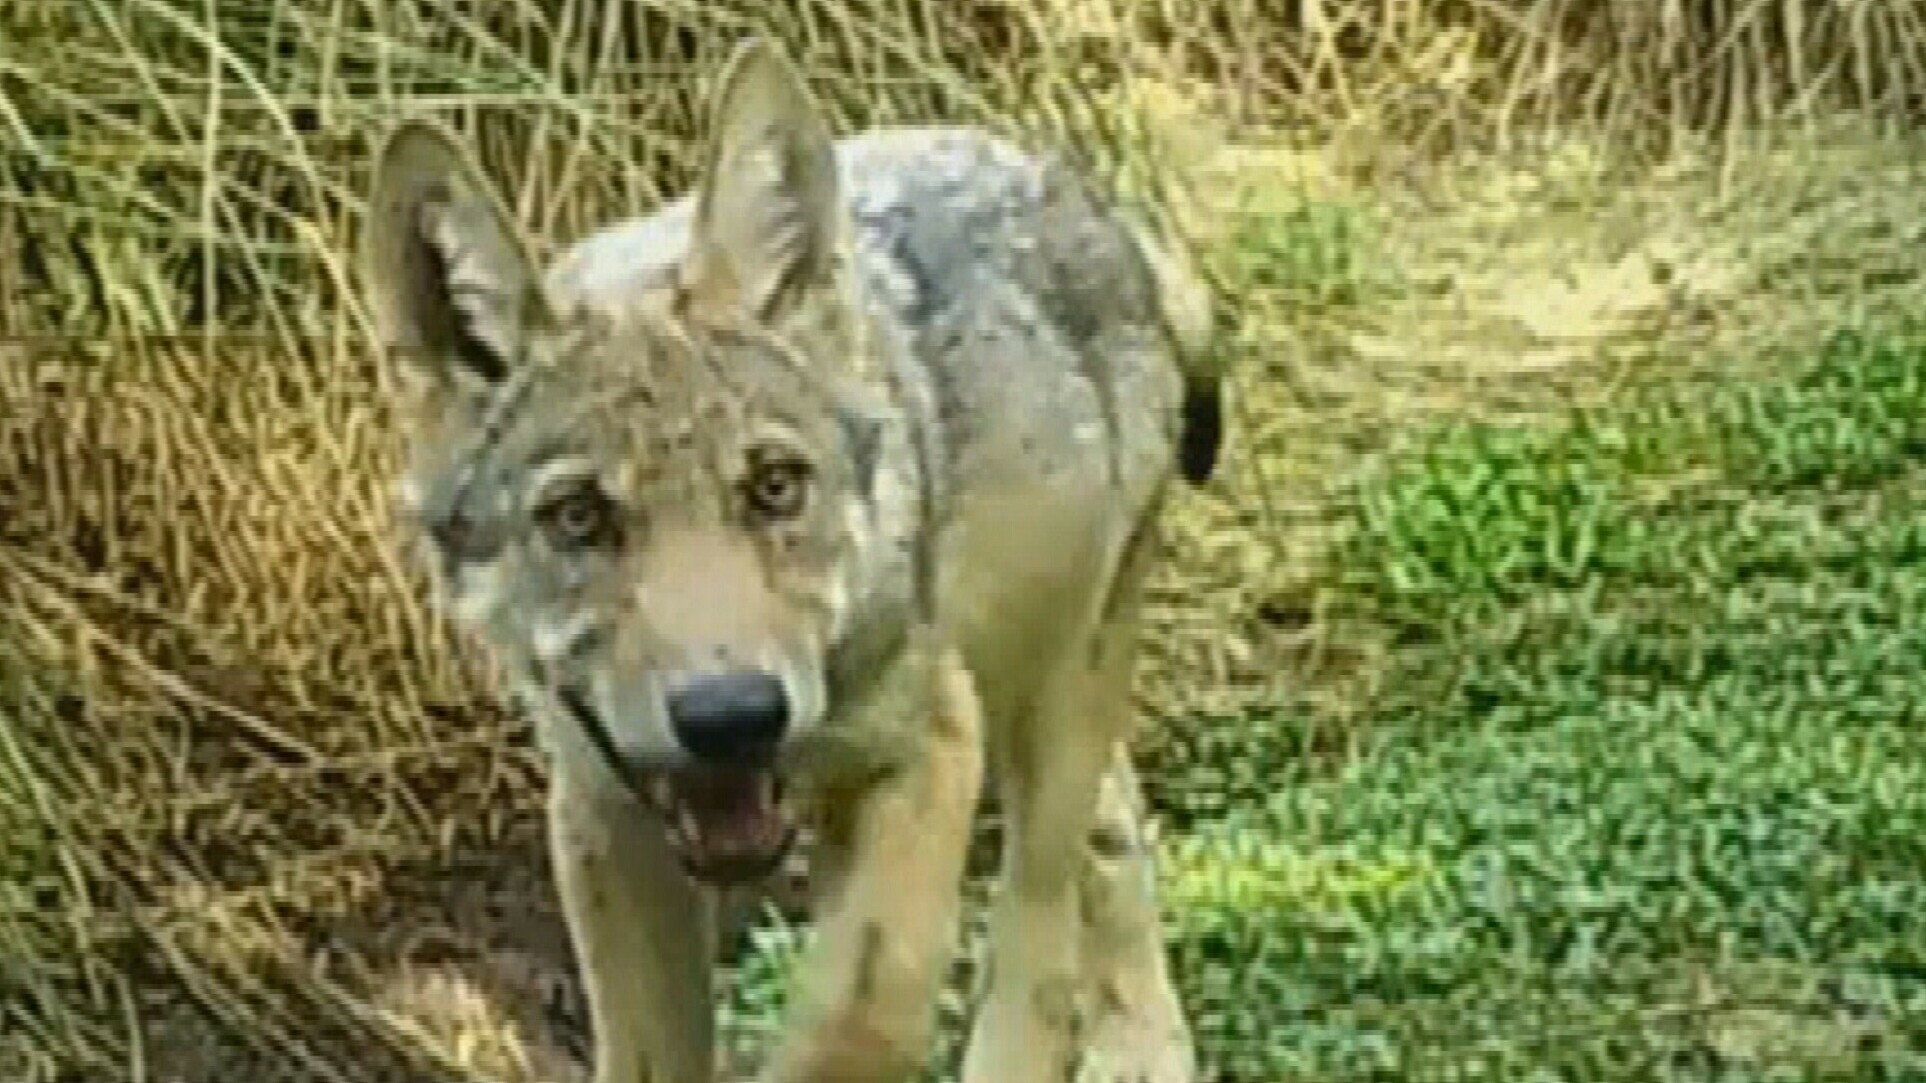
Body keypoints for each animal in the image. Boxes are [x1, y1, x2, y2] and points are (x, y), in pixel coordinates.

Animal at [360, 36, 1222, 1083]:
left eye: (775, 485)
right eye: (577, 516)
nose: (731, 715)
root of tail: (1081, 192)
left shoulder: (931, 747)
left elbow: (860, 1017)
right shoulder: (604, 814)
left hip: (1051, 708)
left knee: (1042, 949)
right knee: (1115, 826)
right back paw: (1143, 1042)